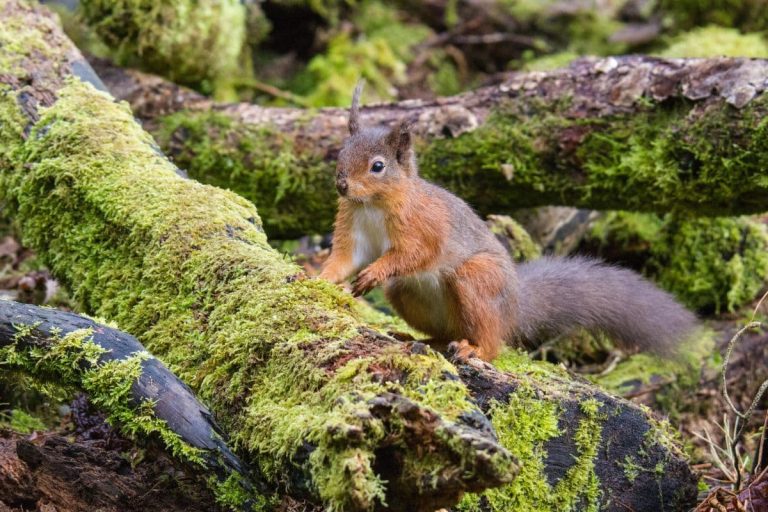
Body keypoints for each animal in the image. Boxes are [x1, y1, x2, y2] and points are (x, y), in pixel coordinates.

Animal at [319, 83, 698, 362]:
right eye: (341, 152)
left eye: (378, 166)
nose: (341, 185)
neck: (371, 206)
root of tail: (515, 307)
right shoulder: (352, 225)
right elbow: (344, 258)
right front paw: (320, 279)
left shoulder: (424, 225)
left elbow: (417, 253)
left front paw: (375, 272)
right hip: (408, 293)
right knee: (446, 332)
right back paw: (423, 339)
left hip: (477, 279)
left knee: (492, 342)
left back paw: (472, 350)